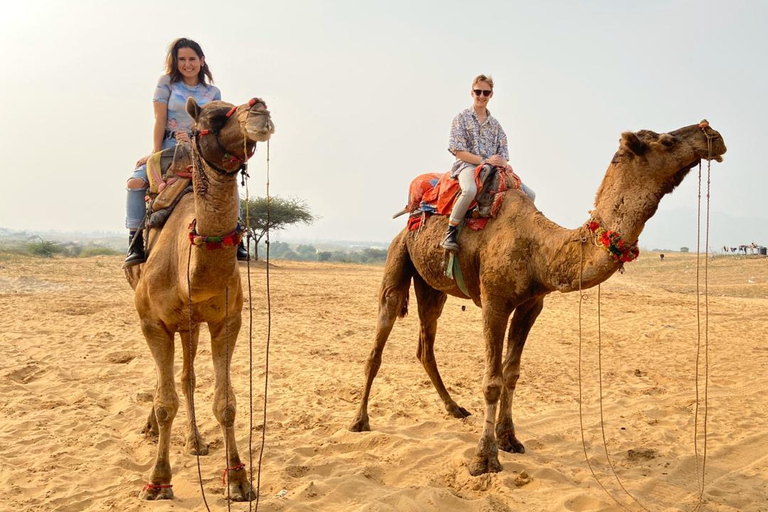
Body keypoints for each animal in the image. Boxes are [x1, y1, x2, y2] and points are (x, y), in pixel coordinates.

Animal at [123, 96, 272, 500]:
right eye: (210, 120)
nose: (260, 110)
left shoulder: (227, 320)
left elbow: (226, 403)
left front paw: (238, 479)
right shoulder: (152, 322)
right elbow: (165, 403)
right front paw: (158, 481)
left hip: (192, 325)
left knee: (187, 376)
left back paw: (195, 441)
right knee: (172, 381)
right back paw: (155, 431)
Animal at [348, 121, 728, 476]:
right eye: (666, 140)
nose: (712, 134)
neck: (539, 249)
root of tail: (413, 213)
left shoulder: (532, 304)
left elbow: (512, 372)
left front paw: (510, 439)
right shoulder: (494, 301)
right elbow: (492, 381)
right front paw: (484, 458)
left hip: (433, 287)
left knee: (425, 343)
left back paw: (454, 409)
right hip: (398, 256)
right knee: (379, 339)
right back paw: (359, 421)